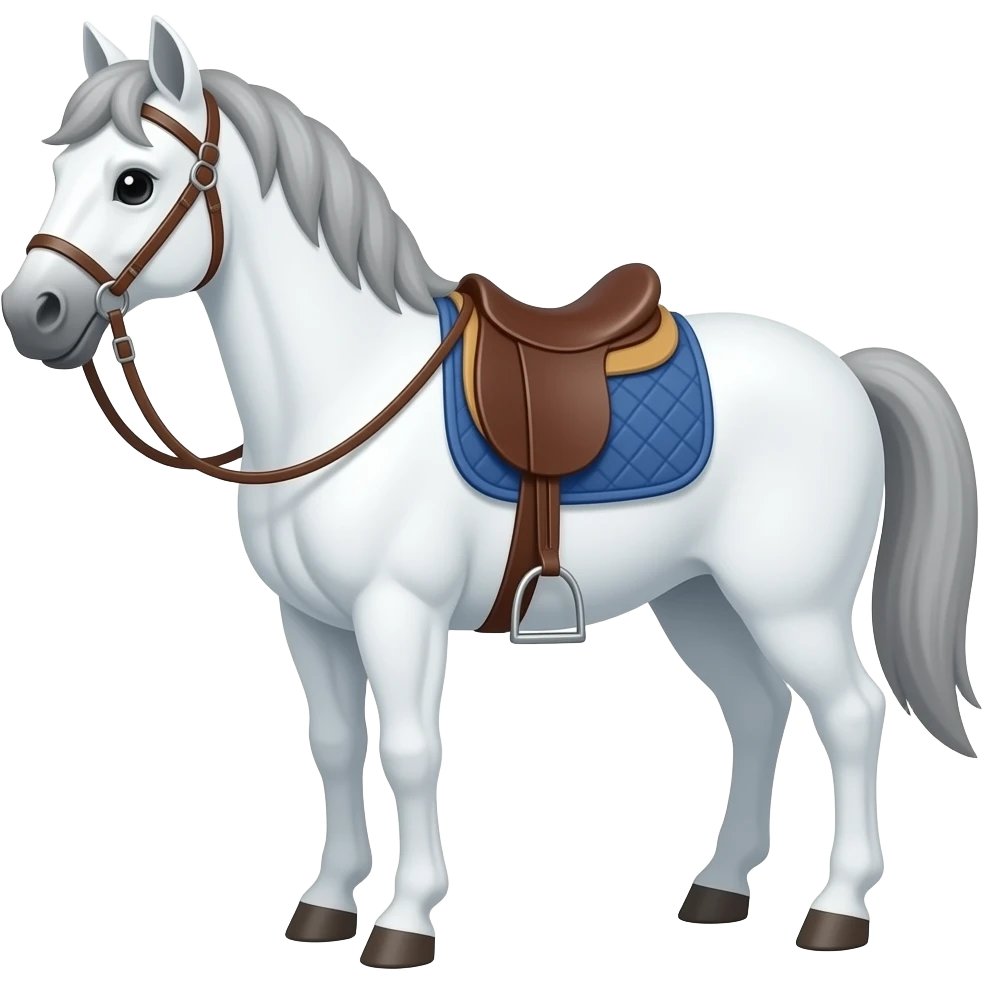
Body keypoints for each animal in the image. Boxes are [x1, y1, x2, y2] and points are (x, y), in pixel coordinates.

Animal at [1, 15, 978, 967]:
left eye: (134, 182)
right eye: (56, 167)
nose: (32, 313)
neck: (350, 389)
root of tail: (843, 368)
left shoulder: (399, 612)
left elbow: (407, 749)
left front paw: (404, 922)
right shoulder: (311, 620)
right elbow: (335, 748)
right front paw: (326, 905)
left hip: (790, 603)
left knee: (851, 716)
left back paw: (838, 911)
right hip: (701, 598)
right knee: (757, 711)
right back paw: (719, 890)